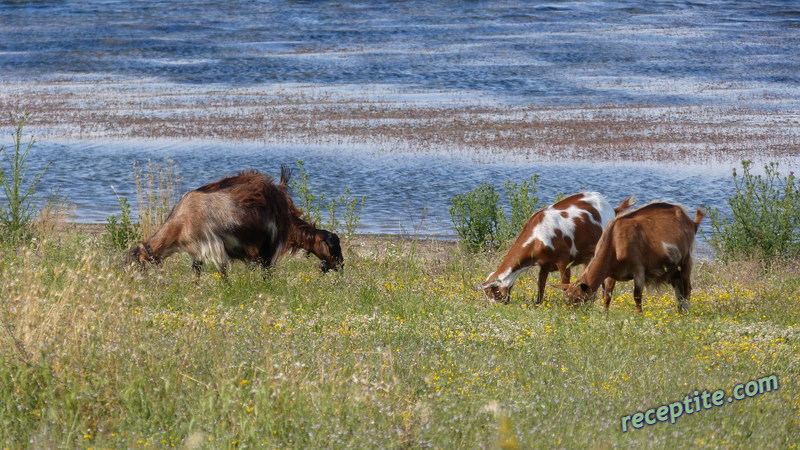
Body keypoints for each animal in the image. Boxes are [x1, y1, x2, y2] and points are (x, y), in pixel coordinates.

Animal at [478, 192, 636, 304]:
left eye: (494, 293)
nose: (495, 307)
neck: (538, 235)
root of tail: (611, 208)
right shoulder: (544, 263)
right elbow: (541, 284)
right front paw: (539, 304)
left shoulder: (563, 261)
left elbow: (564, 283)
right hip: (588, 256)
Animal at [560, 203, 704, 312]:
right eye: (566, 300)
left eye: (578, 300)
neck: (615, 241)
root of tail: (692, 222)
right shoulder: (611, 274)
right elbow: (607, 296)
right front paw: (604, 316)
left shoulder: (638, 269)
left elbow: (637, 296)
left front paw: (640, 317)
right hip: (674, 270)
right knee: (679, 290)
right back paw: (680, 313)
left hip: (686, 261)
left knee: (687, 290)